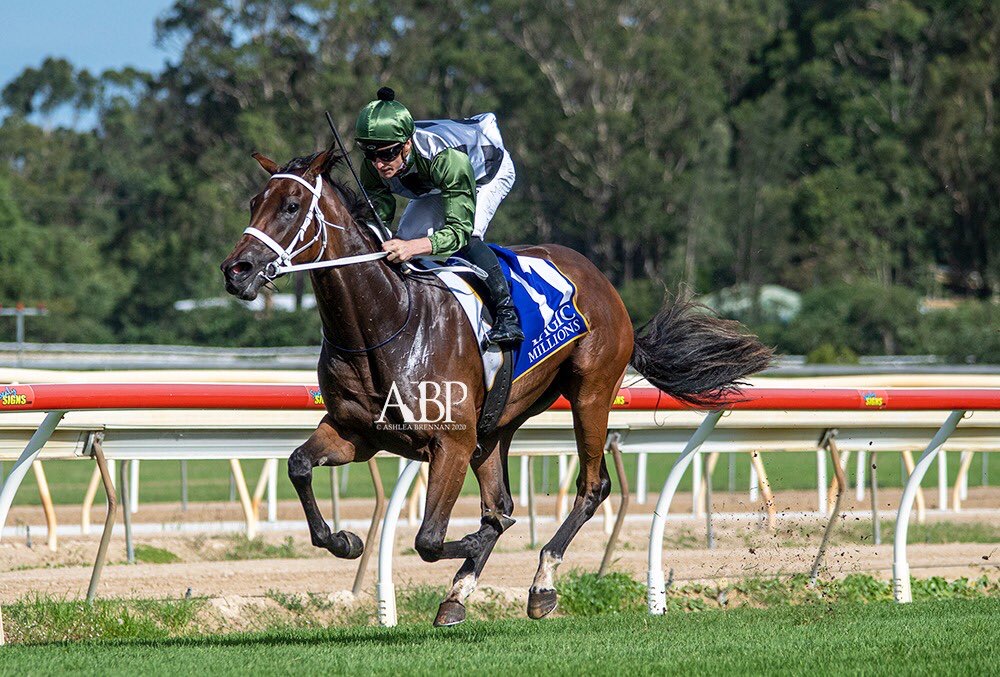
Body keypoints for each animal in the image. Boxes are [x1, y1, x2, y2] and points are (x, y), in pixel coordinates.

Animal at [221, 151, 772, 624]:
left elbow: (430, 538)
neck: (386, 322)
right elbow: (299, 466)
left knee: (590, 487)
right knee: (501, 502)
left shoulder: (450, 441)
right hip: (496, 425)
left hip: (590, 393)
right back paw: (457, 595)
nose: (235, 271)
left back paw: (542, 583)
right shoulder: (356, 433)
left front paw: (468, 543)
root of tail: (602, 280)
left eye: (291, 206)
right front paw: (345, 540)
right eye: (253, 203)